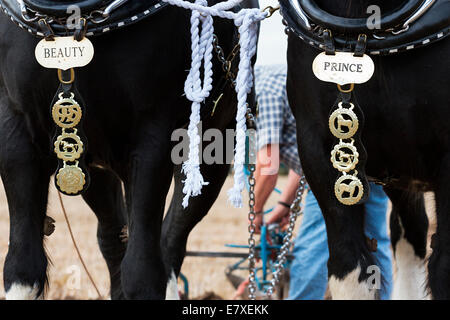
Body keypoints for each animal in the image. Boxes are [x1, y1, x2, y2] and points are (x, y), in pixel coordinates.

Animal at [0, 0, 256, 300]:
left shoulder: (151, 141)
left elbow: (142, 270)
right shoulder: (15, 134)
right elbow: (22, 267)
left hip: (212, 147)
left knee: (170, 240)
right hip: (92, 164)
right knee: (112, 239)